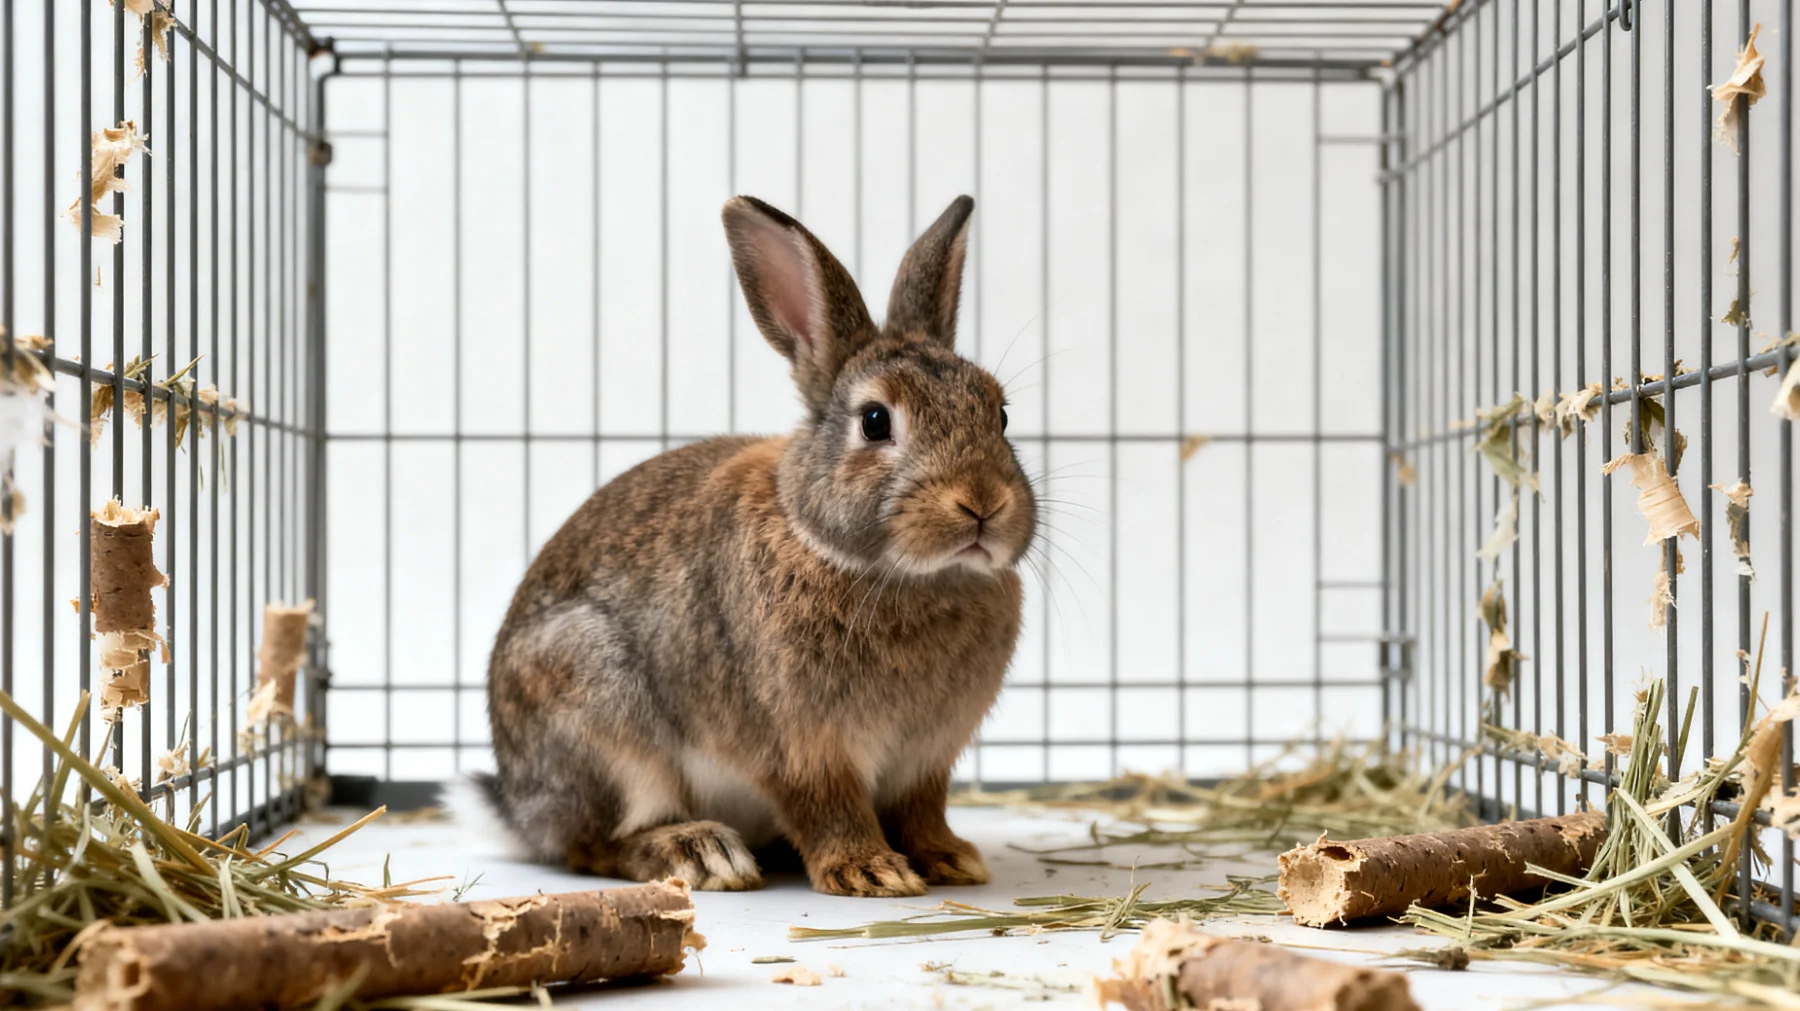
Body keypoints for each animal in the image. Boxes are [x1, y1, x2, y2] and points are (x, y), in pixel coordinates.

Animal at [477, 194, 1036, 898]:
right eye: (875, 421)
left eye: (1002, 415)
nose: (983, 503)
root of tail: (518, 808)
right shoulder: (798, 746)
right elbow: (828, 808)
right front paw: (870, 871)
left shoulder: (926, 758)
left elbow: (921, 810)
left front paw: (949, 858)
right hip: (599, 711)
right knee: (594, 844)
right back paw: (701, 852)